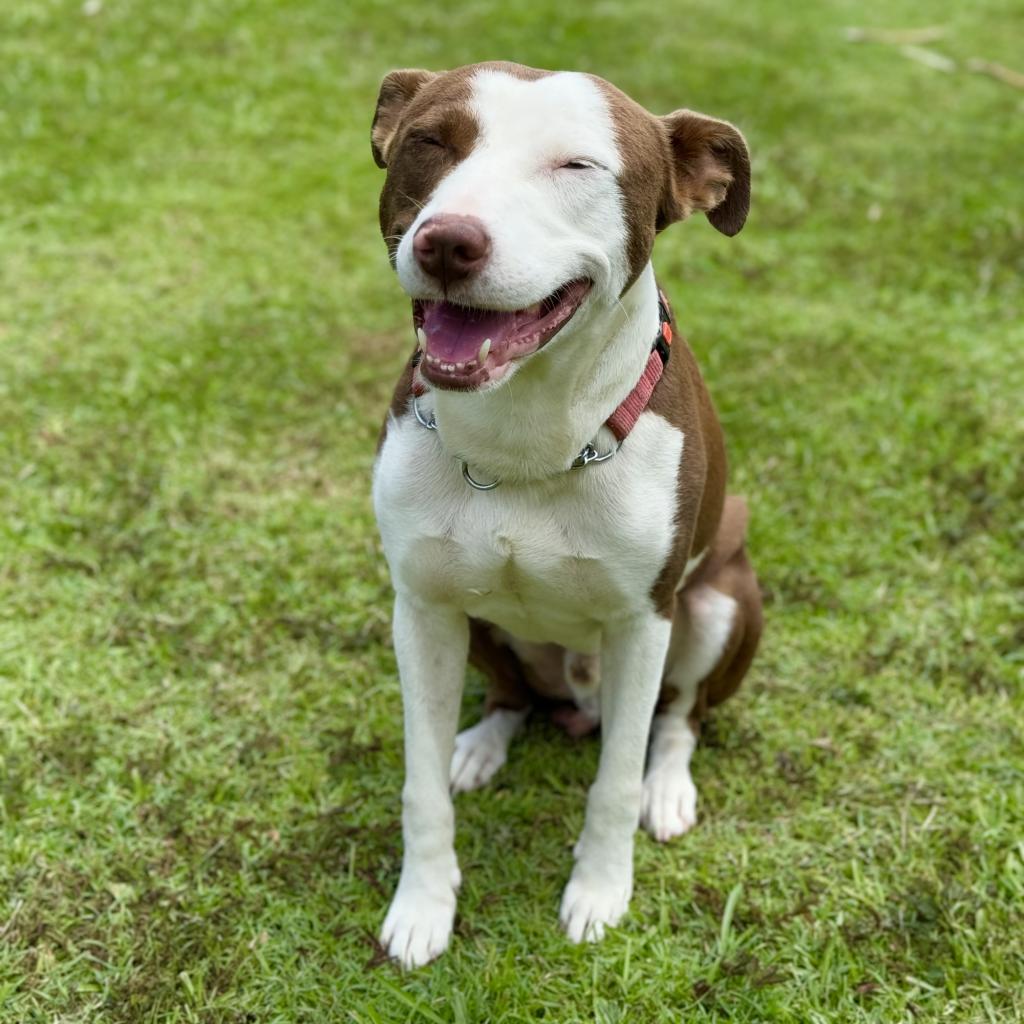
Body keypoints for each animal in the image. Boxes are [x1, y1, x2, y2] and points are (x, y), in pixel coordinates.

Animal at [368, 64, 761, 966]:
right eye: (430, 141)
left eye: (578, 166)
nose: (449, 242)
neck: (522, 439)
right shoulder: (422, 609)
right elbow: (418, 784)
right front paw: (424, 904)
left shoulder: (643, 622)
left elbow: (614, 779)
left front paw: (600, 890)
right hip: (478, 626)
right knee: (511, 695)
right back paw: (479, 745)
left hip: (723, 602)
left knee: (681, 717)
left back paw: (668, 788)